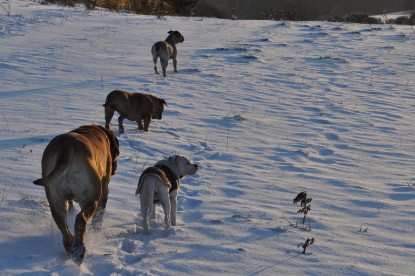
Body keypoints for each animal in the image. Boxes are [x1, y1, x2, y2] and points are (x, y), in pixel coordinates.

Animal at [33, 124, 119, 264]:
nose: (115, 170)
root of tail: (66, 147)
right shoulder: (104, 189)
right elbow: (99, 217)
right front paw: (97, 230)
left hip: (55, 201)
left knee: (64, 227)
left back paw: (71, 248)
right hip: (91, 197)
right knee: (80, 219)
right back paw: (79, 250)